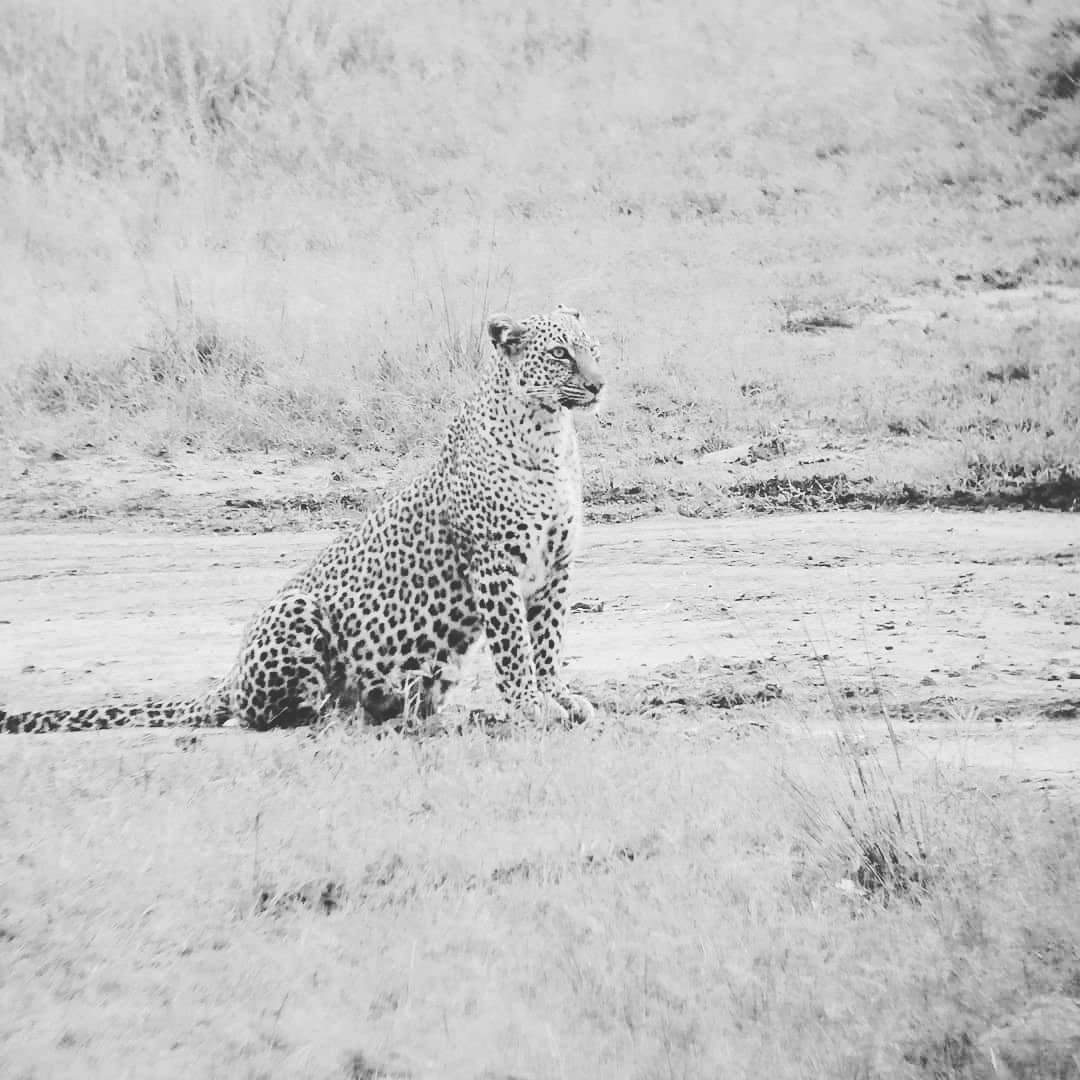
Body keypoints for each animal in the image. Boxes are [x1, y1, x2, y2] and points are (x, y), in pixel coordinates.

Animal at [1, 306, 605, 735]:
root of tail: (229, 678)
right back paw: (340, 714)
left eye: (593, 349)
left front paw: (557, 696)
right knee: (260, 716)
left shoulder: (556, 566)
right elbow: (515, 648)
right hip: (295, 611)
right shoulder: (494, 566)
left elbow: (547, 641)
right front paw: (532, 706)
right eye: (559, 354)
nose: (600, 383)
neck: (550, 436)